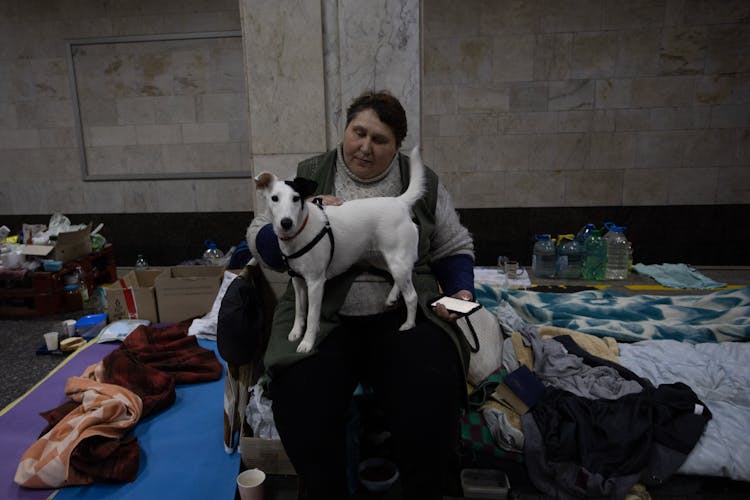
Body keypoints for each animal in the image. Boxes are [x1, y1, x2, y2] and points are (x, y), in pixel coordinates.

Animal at [256, 146, 426, 354]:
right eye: (274, 199)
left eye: (296, 199)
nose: (286, 223)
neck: (300, 231)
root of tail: (399, 202)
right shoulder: (297, 280)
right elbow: (299, 309)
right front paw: (296, 331)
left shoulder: (315, 283)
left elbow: (312, 316)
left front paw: (307, 342)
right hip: (382, 259)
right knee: (397, 278)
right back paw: (393, 296)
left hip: (397, 261)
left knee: (412, 296)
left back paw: (409, 324)